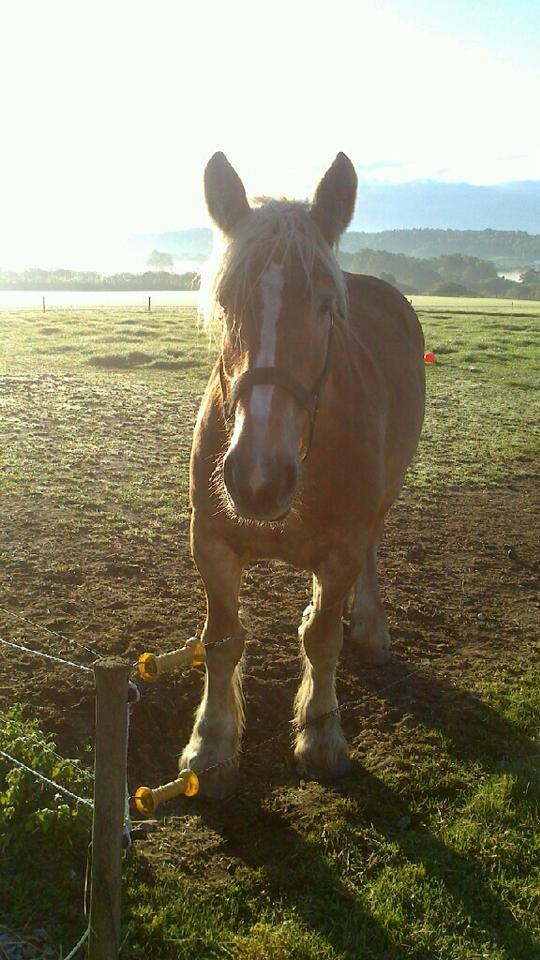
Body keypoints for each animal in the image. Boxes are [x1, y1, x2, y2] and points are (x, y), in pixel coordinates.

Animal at [181, 152, 426, 796]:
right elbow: (223, 640)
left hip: (382, 499)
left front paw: (319, 736)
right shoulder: (210, 541)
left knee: (370, 555)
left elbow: (320, 636)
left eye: (323, 306)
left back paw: (371, 626)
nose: (257, 477)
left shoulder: (341, 548)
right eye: (226, 301)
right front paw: (211, 745)